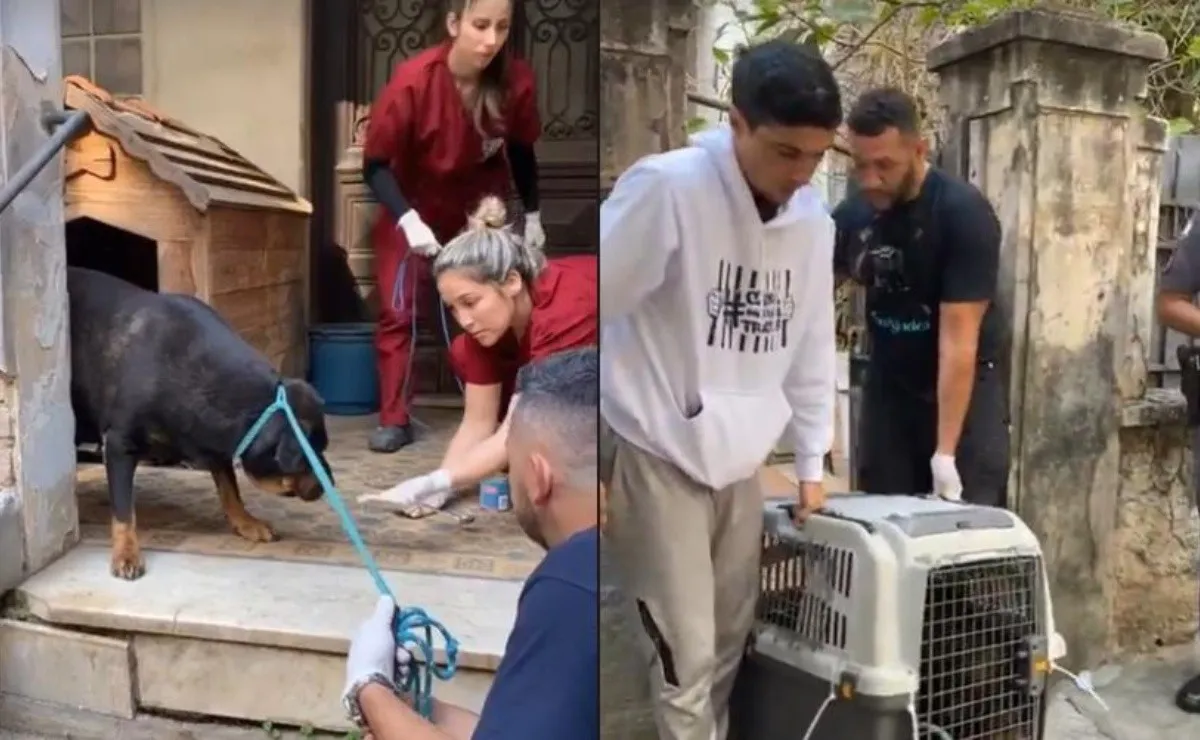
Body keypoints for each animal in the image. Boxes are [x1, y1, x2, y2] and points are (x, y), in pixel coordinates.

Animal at [69, 268, 333, 580]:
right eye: (306, 458)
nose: (329, 484)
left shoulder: (215, 440)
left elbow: (230, 488)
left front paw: (248, 523)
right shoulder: (120, 442)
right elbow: (123, 507)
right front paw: (127, 555)